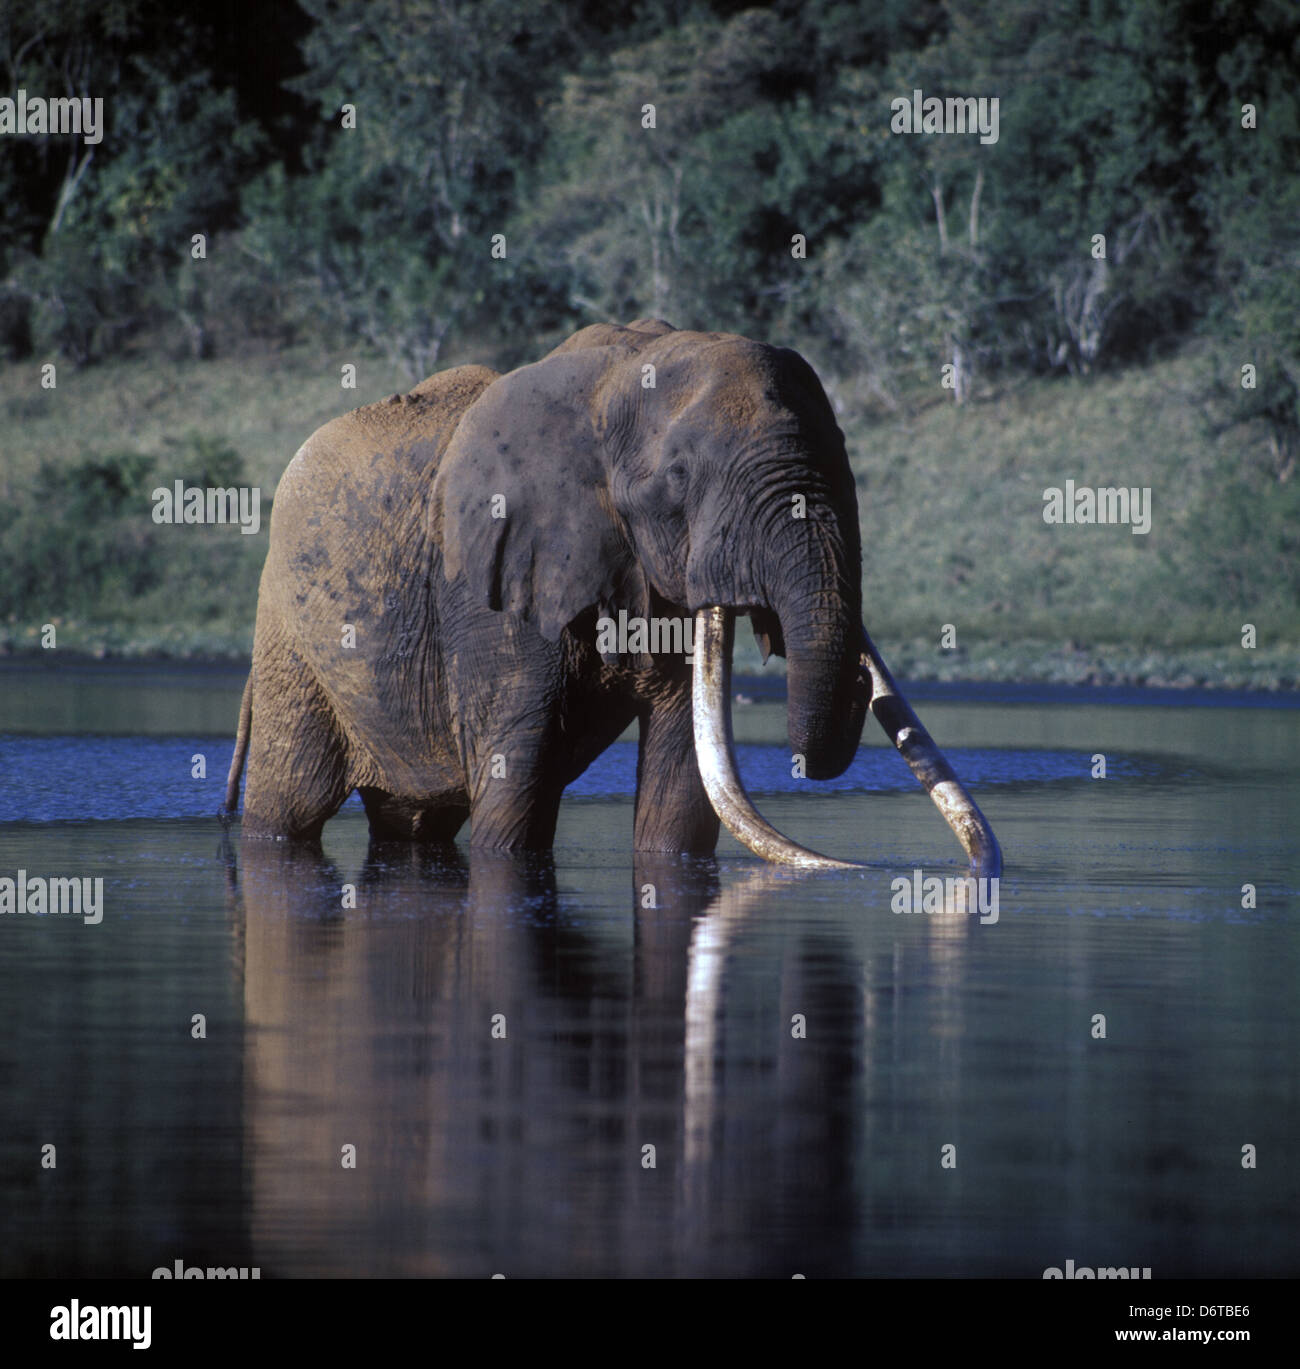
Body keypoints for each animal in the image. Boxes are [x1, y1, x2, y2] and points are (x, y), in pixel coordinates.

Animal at [224, 318, 1001, 870]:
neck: (623, 374)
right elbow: (515, 790)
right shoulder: (488, 583)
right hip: (291, 643)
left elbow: (681, 786)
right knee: (287, 809)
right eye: (678, 478)